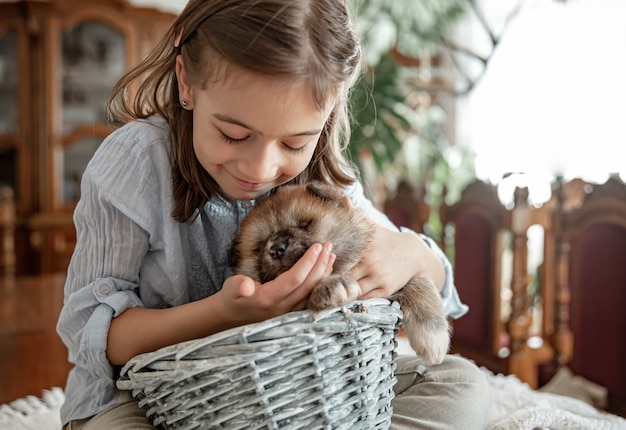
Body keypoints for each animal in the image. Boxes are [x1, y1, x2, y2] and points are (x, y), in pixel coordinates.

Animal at [229, 182, 448, 366]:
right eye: (258, 248)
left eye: (305, 224)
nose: (276, 248)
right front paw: (333, 286)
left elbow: (419, 284)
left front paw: (433, 340)